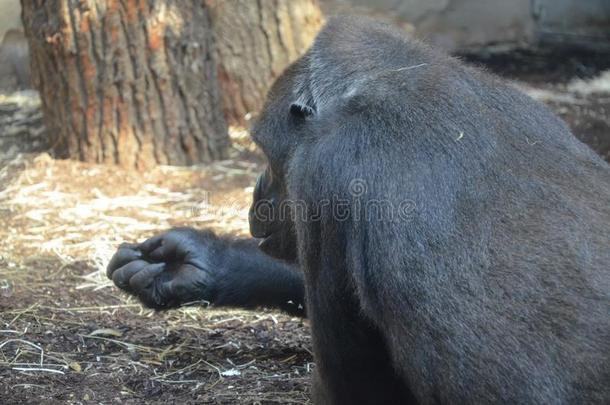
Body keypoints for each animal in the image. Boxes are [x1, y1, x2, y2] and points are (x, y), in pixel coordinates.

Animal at [108, 15, 608, 404]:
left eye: (266, 153)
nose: (256, 193)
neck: (393, 78)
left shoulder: (325, 170)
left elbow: (354, 386)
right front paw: (205, 263)